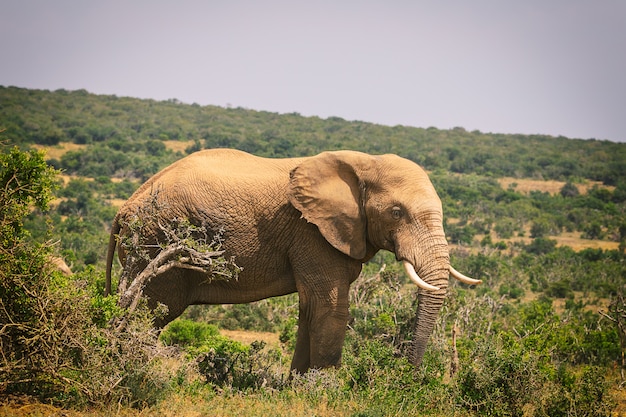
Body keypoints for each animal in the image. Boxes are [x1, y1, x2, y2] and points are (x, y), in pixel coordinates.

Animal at [107, 148, 478, 372]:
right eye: (397, 212)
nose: (405, 373)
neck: (363, 161)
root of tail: (124, 209)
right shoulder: (311, 232)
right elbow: (331, 310)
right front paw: (325, 395)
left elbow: (310, 310)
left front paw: (296, 391)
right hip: (157, 239)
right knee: (151, 314)